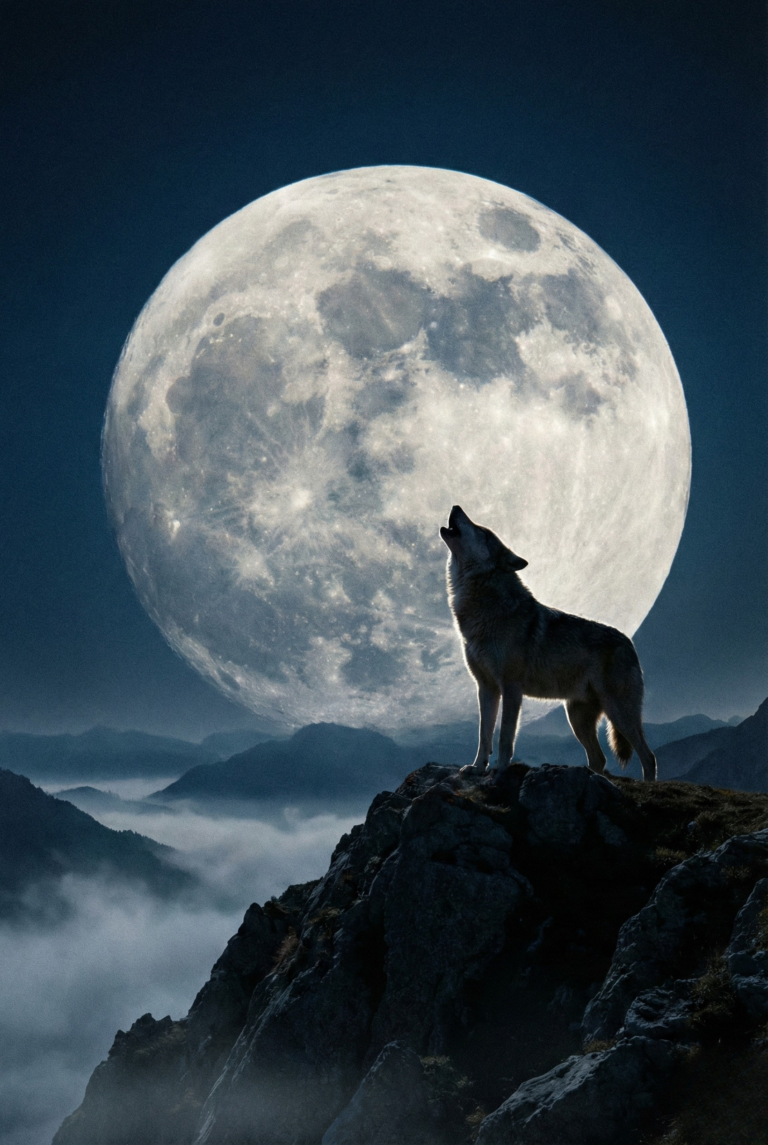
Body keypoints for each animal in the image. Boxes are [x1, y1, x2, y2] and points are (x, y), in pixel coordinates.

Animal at [440, 505, 657, 781]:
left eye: (482, 530)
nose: (456, 506)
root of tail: (629, 643)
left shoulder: (511, 687)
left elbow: (504, 737)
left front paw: (500, 770)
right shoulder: (486, 688)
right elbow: (484, 735)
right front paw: (477, 768)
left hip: (619, 713)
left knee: (648, 756)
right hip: (576, 717)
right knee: (599, 759)